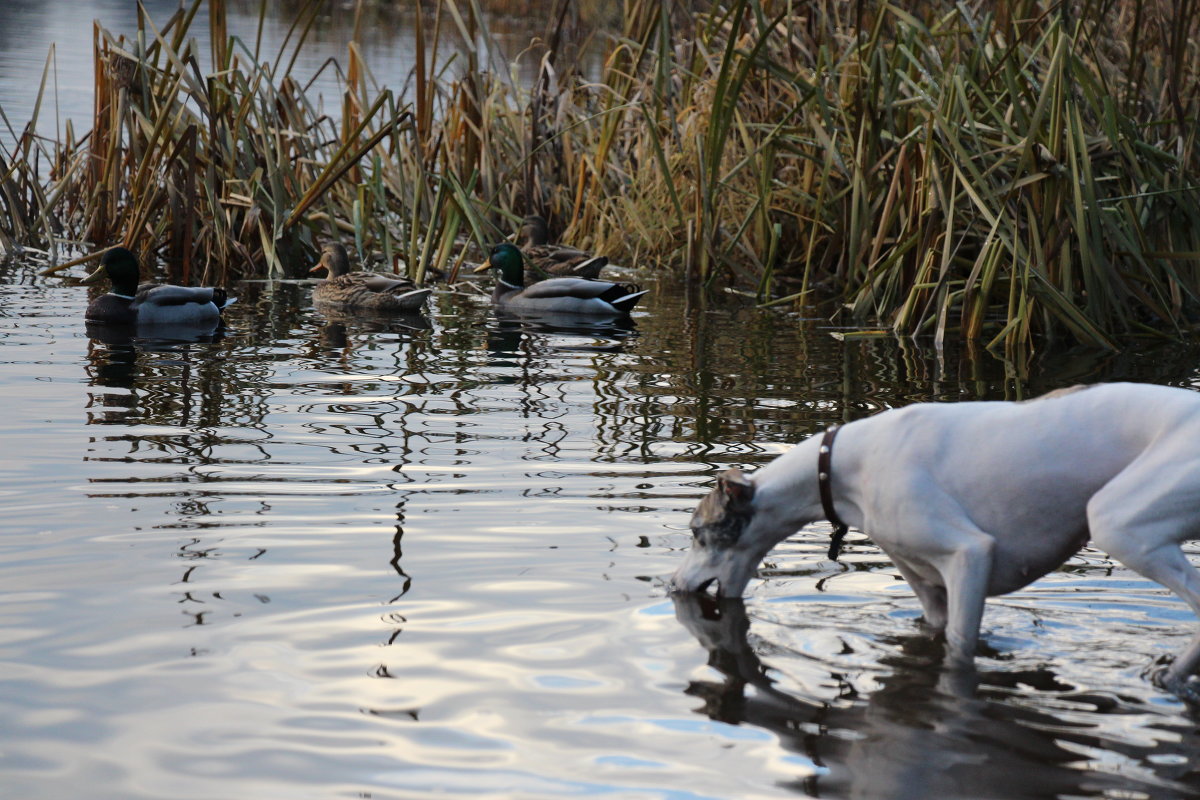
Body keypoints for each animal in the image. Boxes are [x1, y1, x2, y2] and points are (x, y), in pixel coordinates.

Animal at [672, 381, 1200, 695]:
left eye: (698, 534)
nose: (672, 586)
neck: (837, 466)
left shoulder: (969, 556)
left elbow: (961, 648)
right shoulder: (928, 588)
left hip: (1117, 521)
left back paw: (1172, 676)